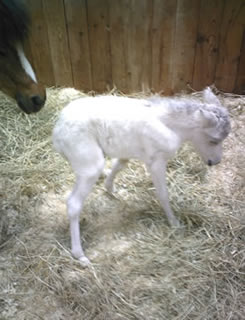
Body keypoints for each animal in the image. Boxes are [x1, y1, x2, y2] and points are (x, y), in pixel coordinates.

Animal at [52, 87, 231, 264]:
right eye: (214, 140)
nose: (215, 162)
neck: (172, 126)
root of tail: (57, 133)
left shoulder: (127, 149)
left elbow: (120, 163)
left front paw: (112, 190)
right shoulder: (156, 161)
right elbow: (163, 194)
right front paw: (174, 223)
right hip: (89, 163)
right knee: (74, 203)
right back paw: (79, 254)